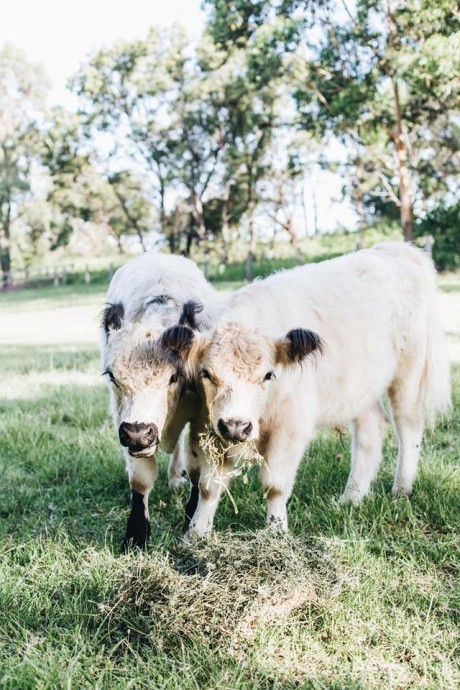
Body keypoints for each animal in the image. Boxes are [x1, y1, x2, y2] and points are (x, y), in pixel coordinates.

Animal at [100, 253, 217, 548]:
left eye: (174, 376)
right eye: (112, 376)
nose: (139, 434)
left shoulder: (202, 416)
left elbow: (197, 467)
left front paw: (191, 518)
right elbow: (140, 480)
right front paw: (136, 535)